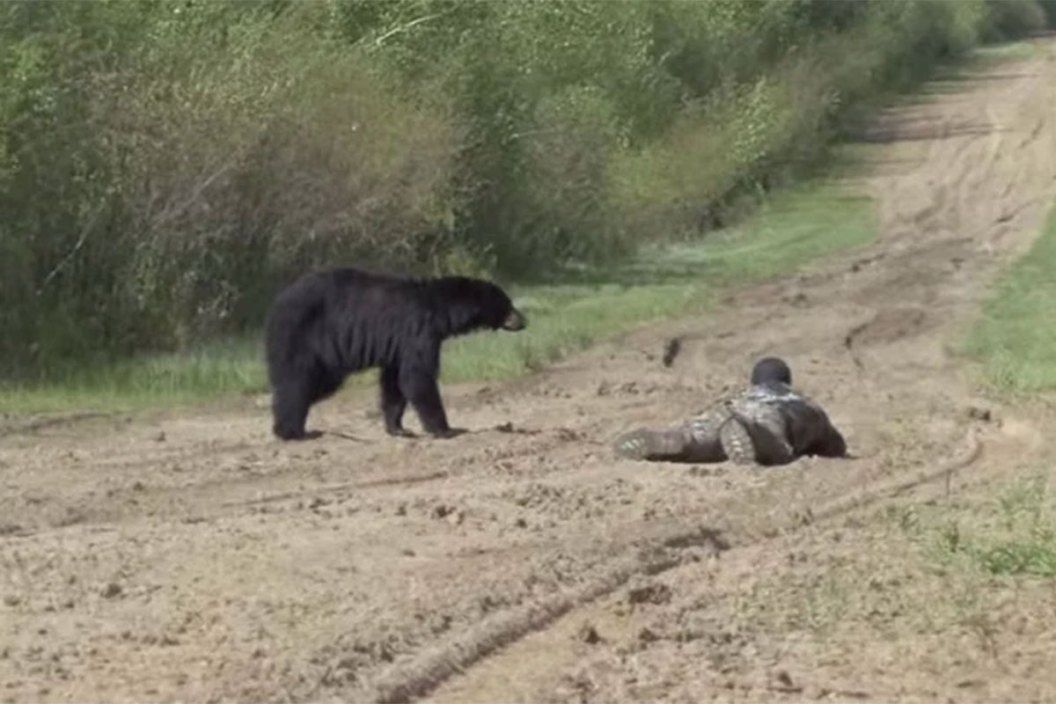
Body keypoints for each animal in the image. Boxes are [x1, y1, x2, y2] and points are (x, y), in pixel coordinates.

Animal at [264, 267, 526, 440]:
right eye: (508, 304)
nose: (523, 320)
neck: (441, 310)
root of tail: (276, 305)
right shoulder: (418, 331)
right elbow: (417, 376)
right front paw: (447, 429)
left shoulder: (397, 347)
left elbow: (394, 382)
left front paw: (398, 427)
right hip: (303, 338)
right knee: (297, 382)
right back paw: (291, 431)